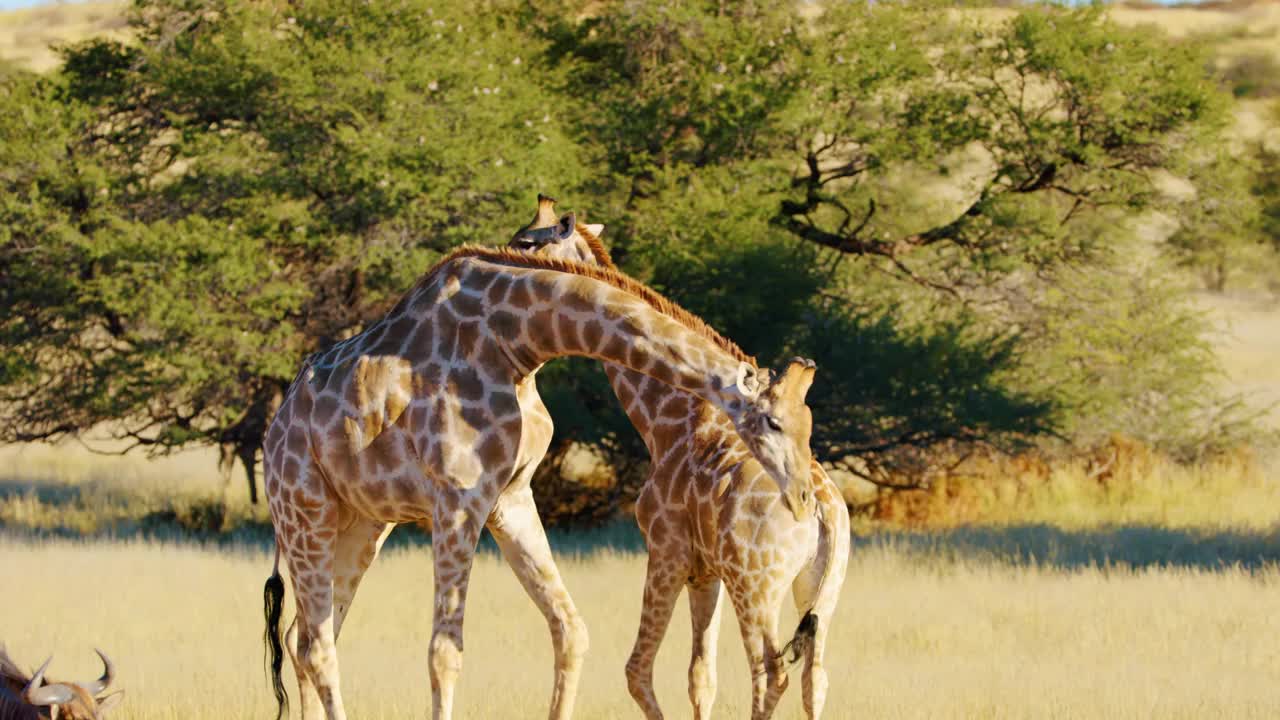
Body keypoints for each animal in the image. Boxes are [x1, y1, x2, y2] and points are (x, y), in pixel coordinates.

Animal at [259, 213, 819, 717]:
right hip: (303, 509)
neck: (517, 345)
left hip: (362, 522)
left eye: (806, 424)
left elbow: (570, 631)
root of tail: (275, 429)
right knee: (317, 646)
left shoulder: (509, 497)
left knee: (306, 637)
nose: (803, 499)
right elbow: (445, 652)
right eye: (773, 423)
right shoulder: (457, 498)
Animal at [506, 193, 849, 712]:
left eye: (528, 240)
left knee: (771, 674)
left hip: (758, 587)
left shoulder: (666, 550)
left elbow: (637, 669)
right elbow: (700, 676)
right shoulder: (706, 572)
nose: (504, 261)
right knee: (816, 677)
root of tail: (825, 508)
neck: (665, 419)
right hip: (820, 592)